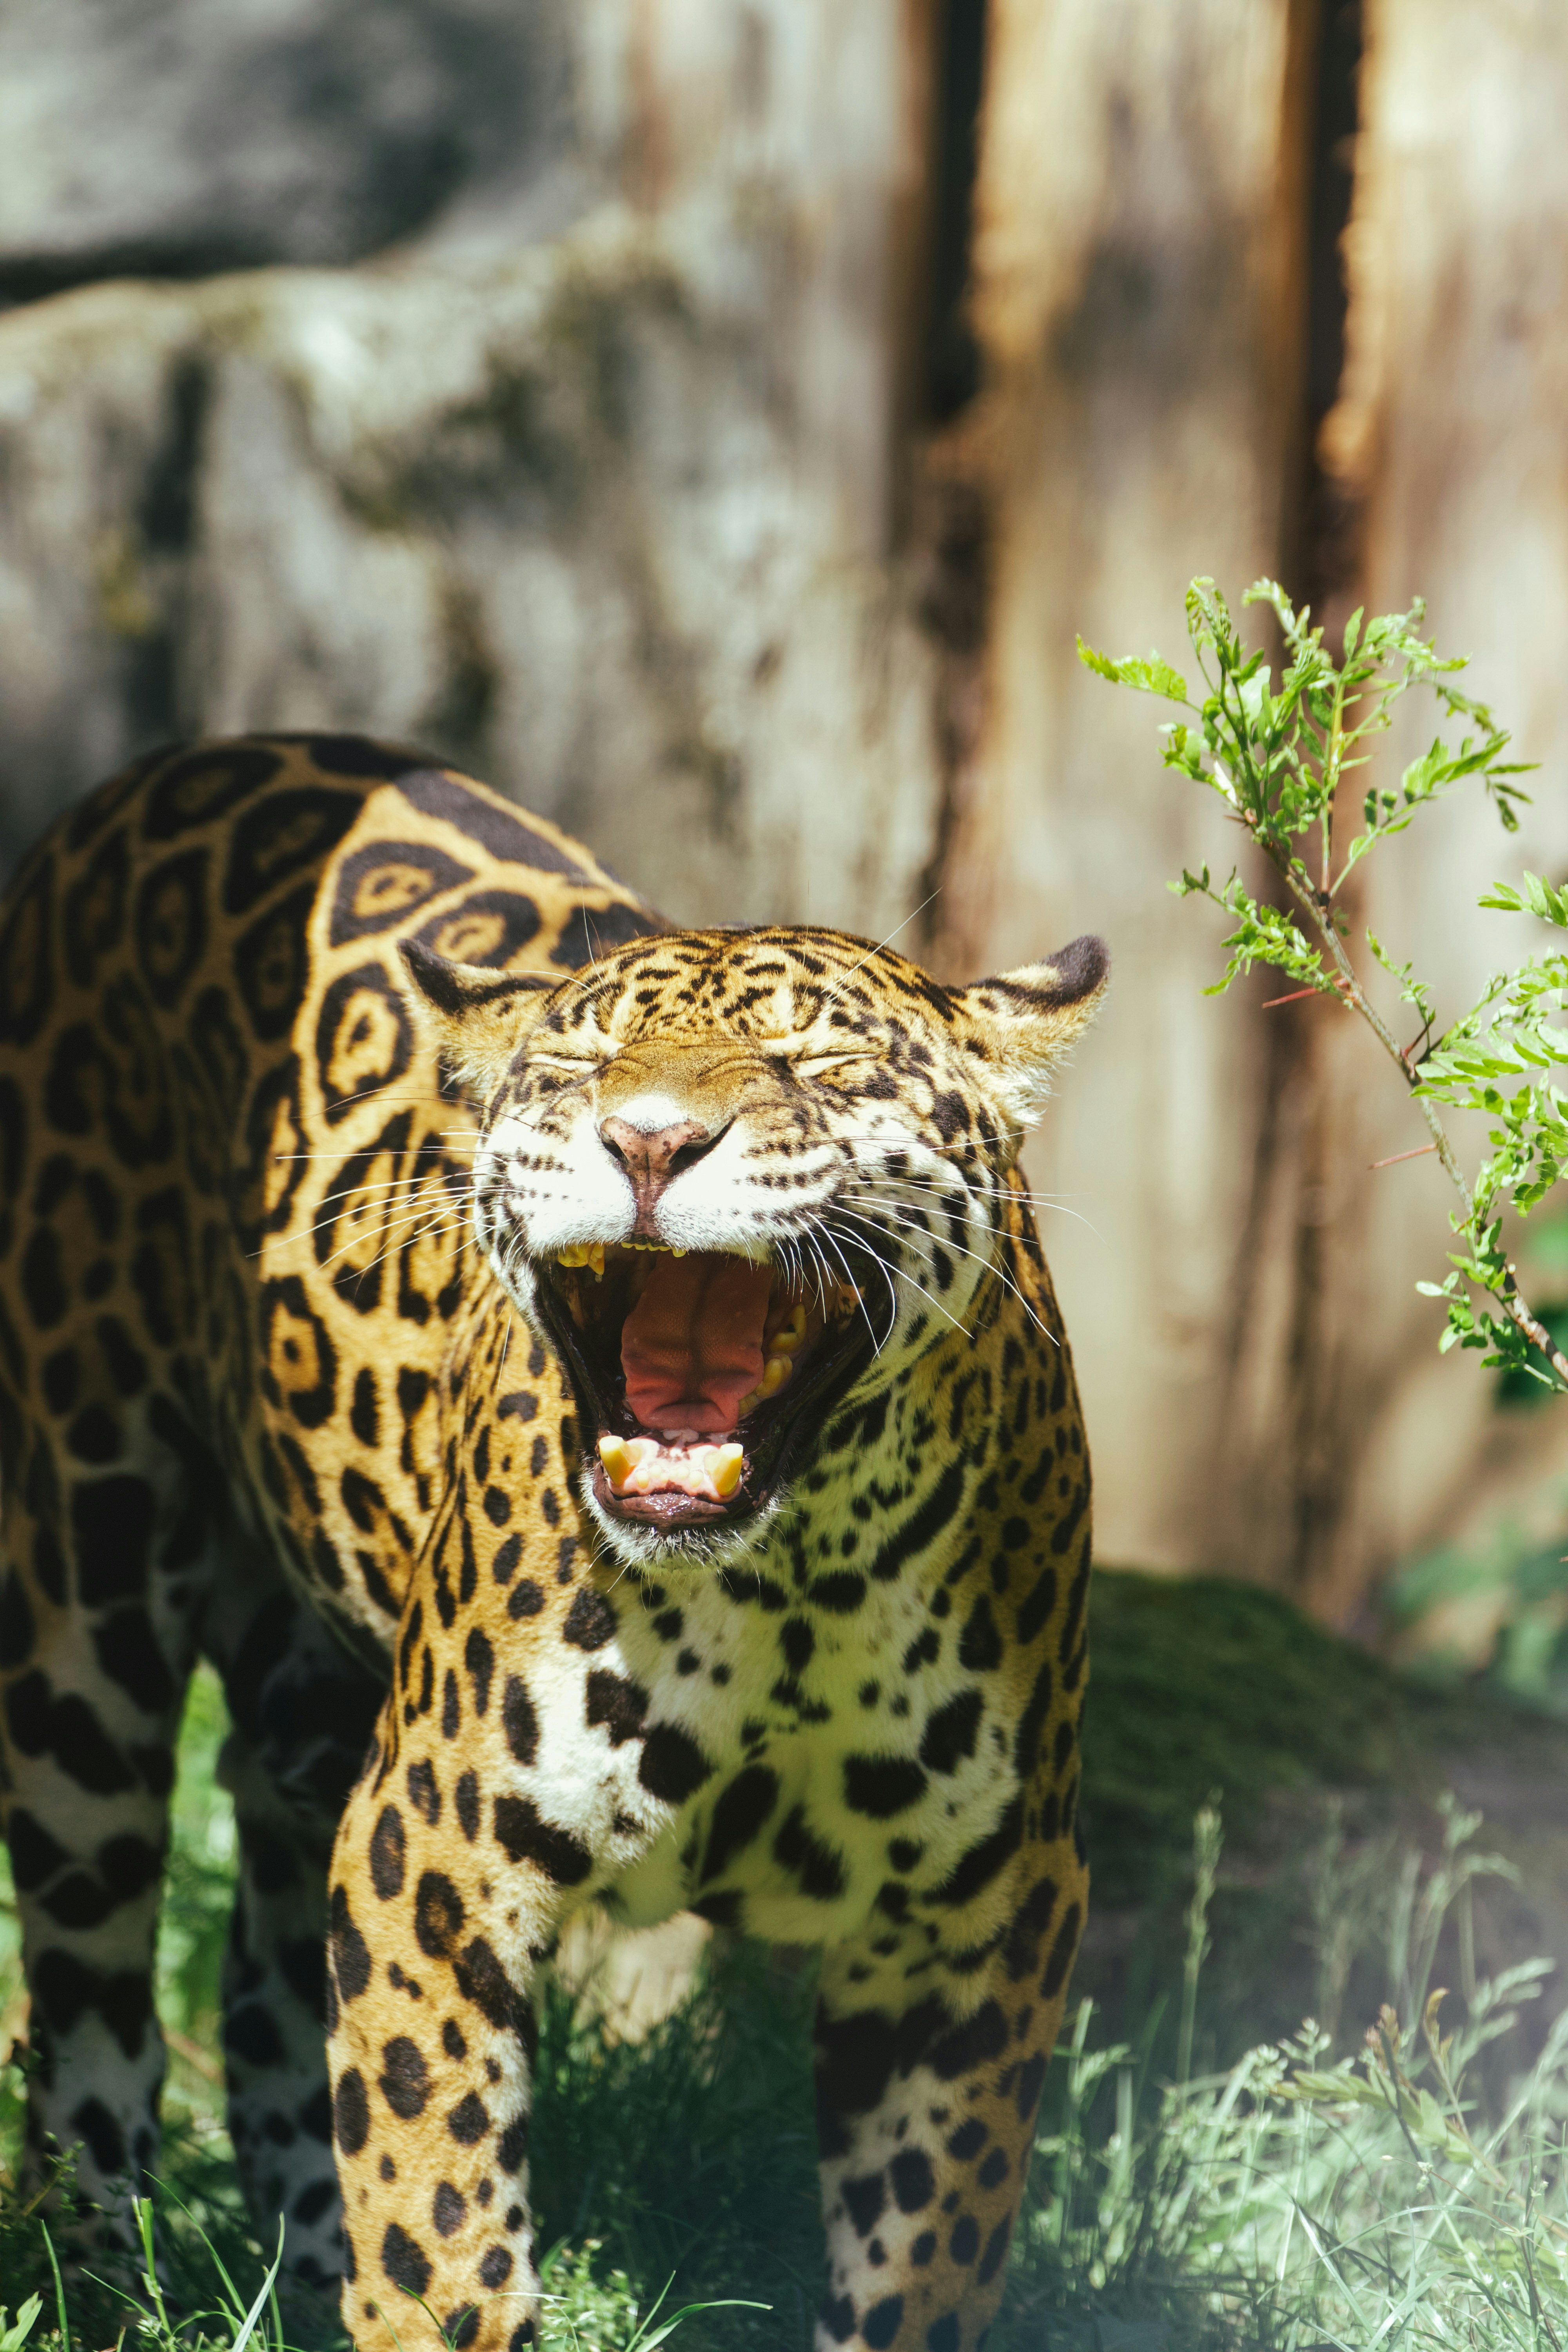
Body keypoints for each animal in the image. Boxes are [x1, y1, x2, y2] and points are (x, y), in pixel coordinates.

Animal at [0, 730, 1108, 2352]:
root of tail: (178, 765)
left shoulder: (983, 1915)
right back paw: (95, 2276)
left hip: (314, 1691)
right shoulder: (429, 1846)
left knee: (266, 1994)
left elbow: (922, 2257)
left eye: (818, 1065)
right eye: (583, 1069)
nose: (647, 1142)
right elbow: (439, 2225)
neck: (793, 1579)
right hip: (85, 1612)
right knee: (91, 2013)